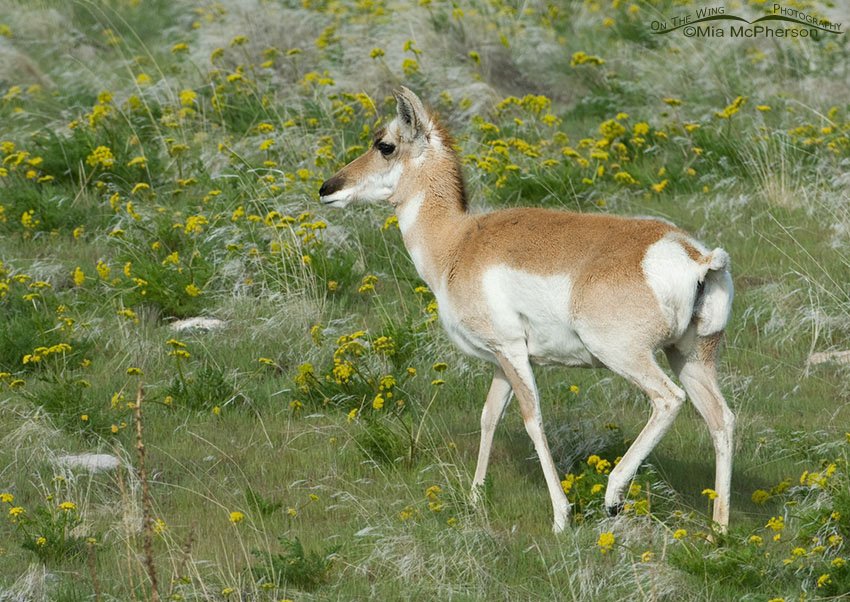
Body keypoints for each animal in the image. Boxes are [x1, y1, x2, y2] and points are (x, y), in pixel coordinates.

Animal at [319, 87, 735, 533]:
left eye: (385, 145)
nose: (327, 188)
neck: (458, 242)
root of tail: (695, 256)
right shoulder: (502, 361)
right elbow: (489, 416)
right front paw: (475, 498)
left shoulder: (513, 352)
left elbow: (532, 420)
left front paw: (560, 516)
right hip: (690, 358)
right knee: (722, 419)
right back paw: (719, 531)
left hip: (627, 356)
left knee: (669, 400)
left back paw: (613, 495)